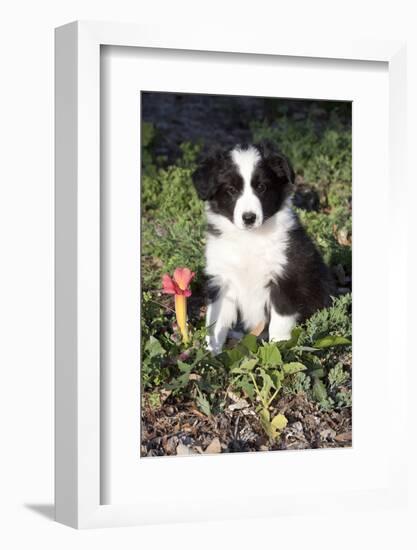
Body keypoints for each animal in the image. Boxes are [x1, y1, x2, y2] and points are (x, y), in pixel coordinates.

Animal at [193, 142, 334, 356]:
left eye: (261, 187)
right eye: (231, 190)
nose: (249, 218)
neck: (250, 238)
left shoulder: (285, 279)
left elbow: (280, 325)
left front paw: (279, 351)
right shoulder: (222, 279)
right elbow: (215, 321)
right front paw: (211, 355)